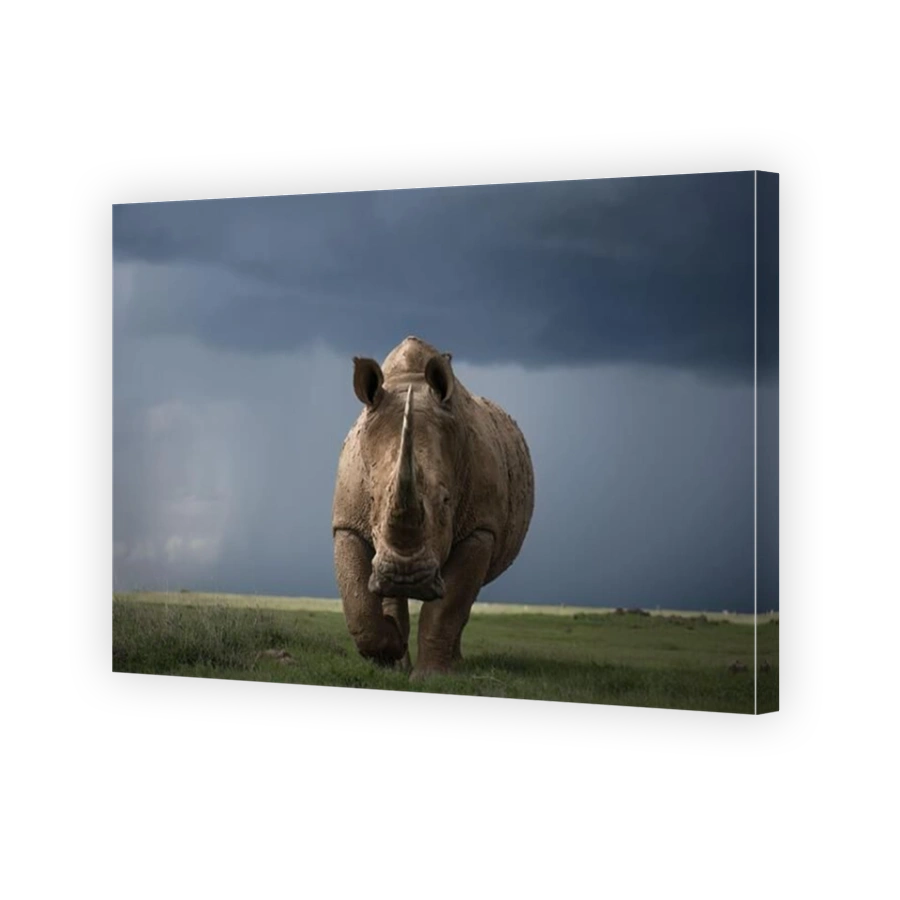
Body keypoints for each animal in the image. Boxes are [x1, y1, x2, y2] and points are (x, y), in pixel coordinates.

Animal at [332, 336, 535, 678]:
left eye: (446, 501)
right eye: (371, 500)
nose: (405, 576)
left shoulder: (481, 528)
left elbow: (448, 607)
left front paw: (431, 677)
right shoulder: (347, 521)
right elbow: (358, 602)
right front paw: (390, 651)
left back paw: (453, 665)